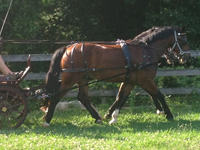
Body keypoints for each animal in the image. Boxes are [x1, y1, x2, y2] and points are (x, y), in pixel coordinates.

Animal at [41, 26, 191, 126]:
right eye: (184, 41)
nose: (187, 57)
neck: (145, 51)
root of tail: (68, 48)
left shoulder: (130, 81)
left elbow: (120, 97)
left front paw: (112, 116)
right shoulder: (145, 80)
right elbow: (159, 94)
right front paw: (169, 114)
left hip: (83, 78)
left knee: (82, 97)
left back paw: (97, 118)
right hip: (71, 79)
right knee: (55, 96)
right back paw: (47, 120)